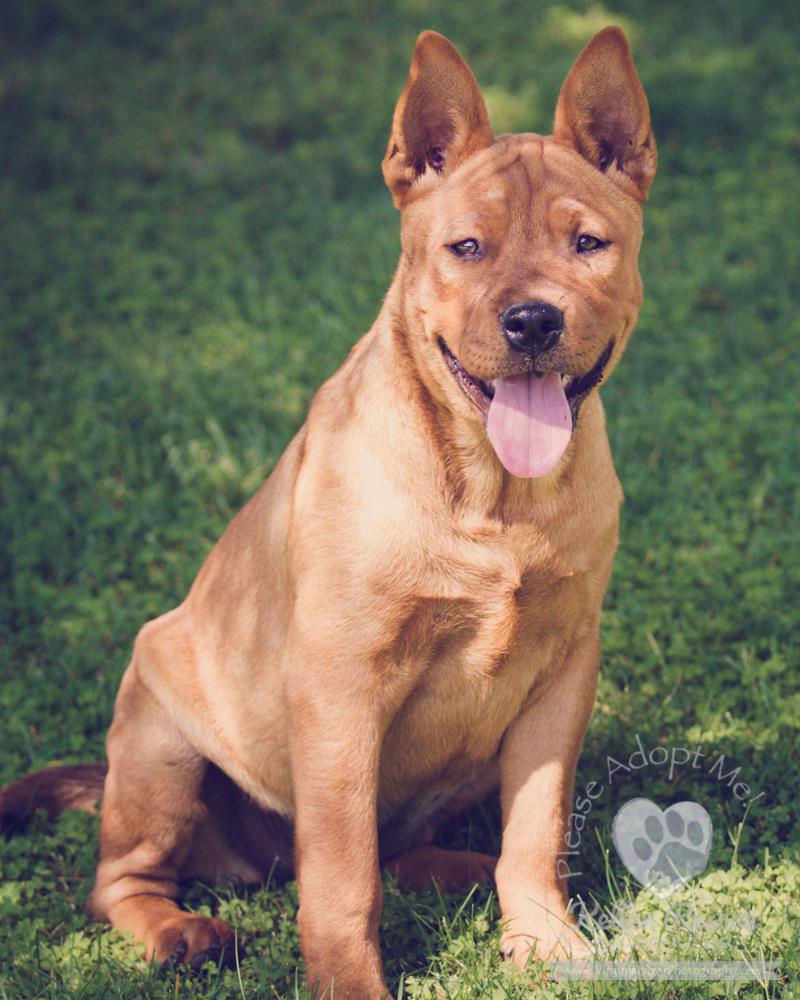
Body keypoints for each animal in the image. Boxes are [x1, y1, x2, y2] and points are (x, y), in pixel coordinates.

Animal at [1, 25, 656, 1000]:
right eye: (466, 247)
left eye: (588, 243)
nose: (534, 322)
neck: (491, 498)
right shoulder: (342, 685)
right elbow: (342, 877)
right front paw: (353, 982)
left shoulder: (564, 667)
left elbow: (536, 830)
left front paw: (544, 939)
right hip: (160, 737)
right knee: (123, 879)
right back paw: (179, 932)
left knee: (418, 853)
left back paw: (478, 878)